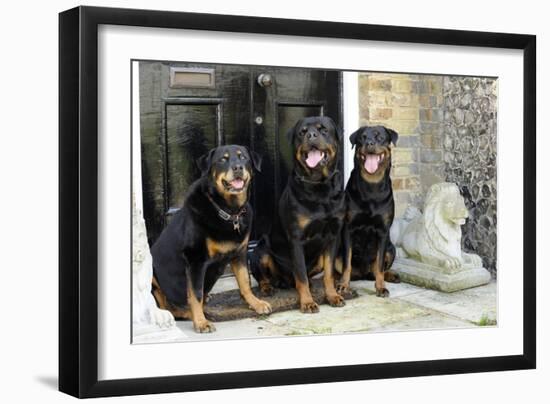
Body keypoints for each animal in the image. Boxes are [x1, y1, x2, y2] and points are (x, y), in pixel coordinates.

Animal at [150, 144, 272, 332]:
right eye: (223, 159)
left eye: (243, 157)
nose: (238, 168)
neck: (229, 211)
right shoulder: (195, 260)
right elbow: (195, 294)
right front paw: (201, 322)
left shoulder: (240, 254)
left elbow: (245, 282)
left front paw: (256, 303)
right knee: (166, 306)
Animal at [252, 116, 348, 312]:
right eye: (302, 132)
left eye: (323, 129)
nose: (311, 135)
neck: (319, 185)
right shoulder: (296, 239)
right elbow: (301, 275)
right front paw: (307, 302)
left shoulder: (333, 236)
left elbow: (329, 273)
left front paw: (332, 296)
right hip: (260, 250)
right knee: (264, 275)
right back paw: (268, 287)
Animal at [336, 125, 402, 296]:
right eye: (362, 138)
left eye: (380, 137)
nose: (369, 143)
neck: (372, 185)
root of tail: (363, 274)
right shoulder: (348, 228)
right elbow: (347, 264)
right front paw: (343, 286)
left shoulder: (383, 231)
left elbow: (379, 265)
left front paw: (381, 287)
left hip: (391, 249)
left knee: (379, 269)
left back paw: (390, 275)